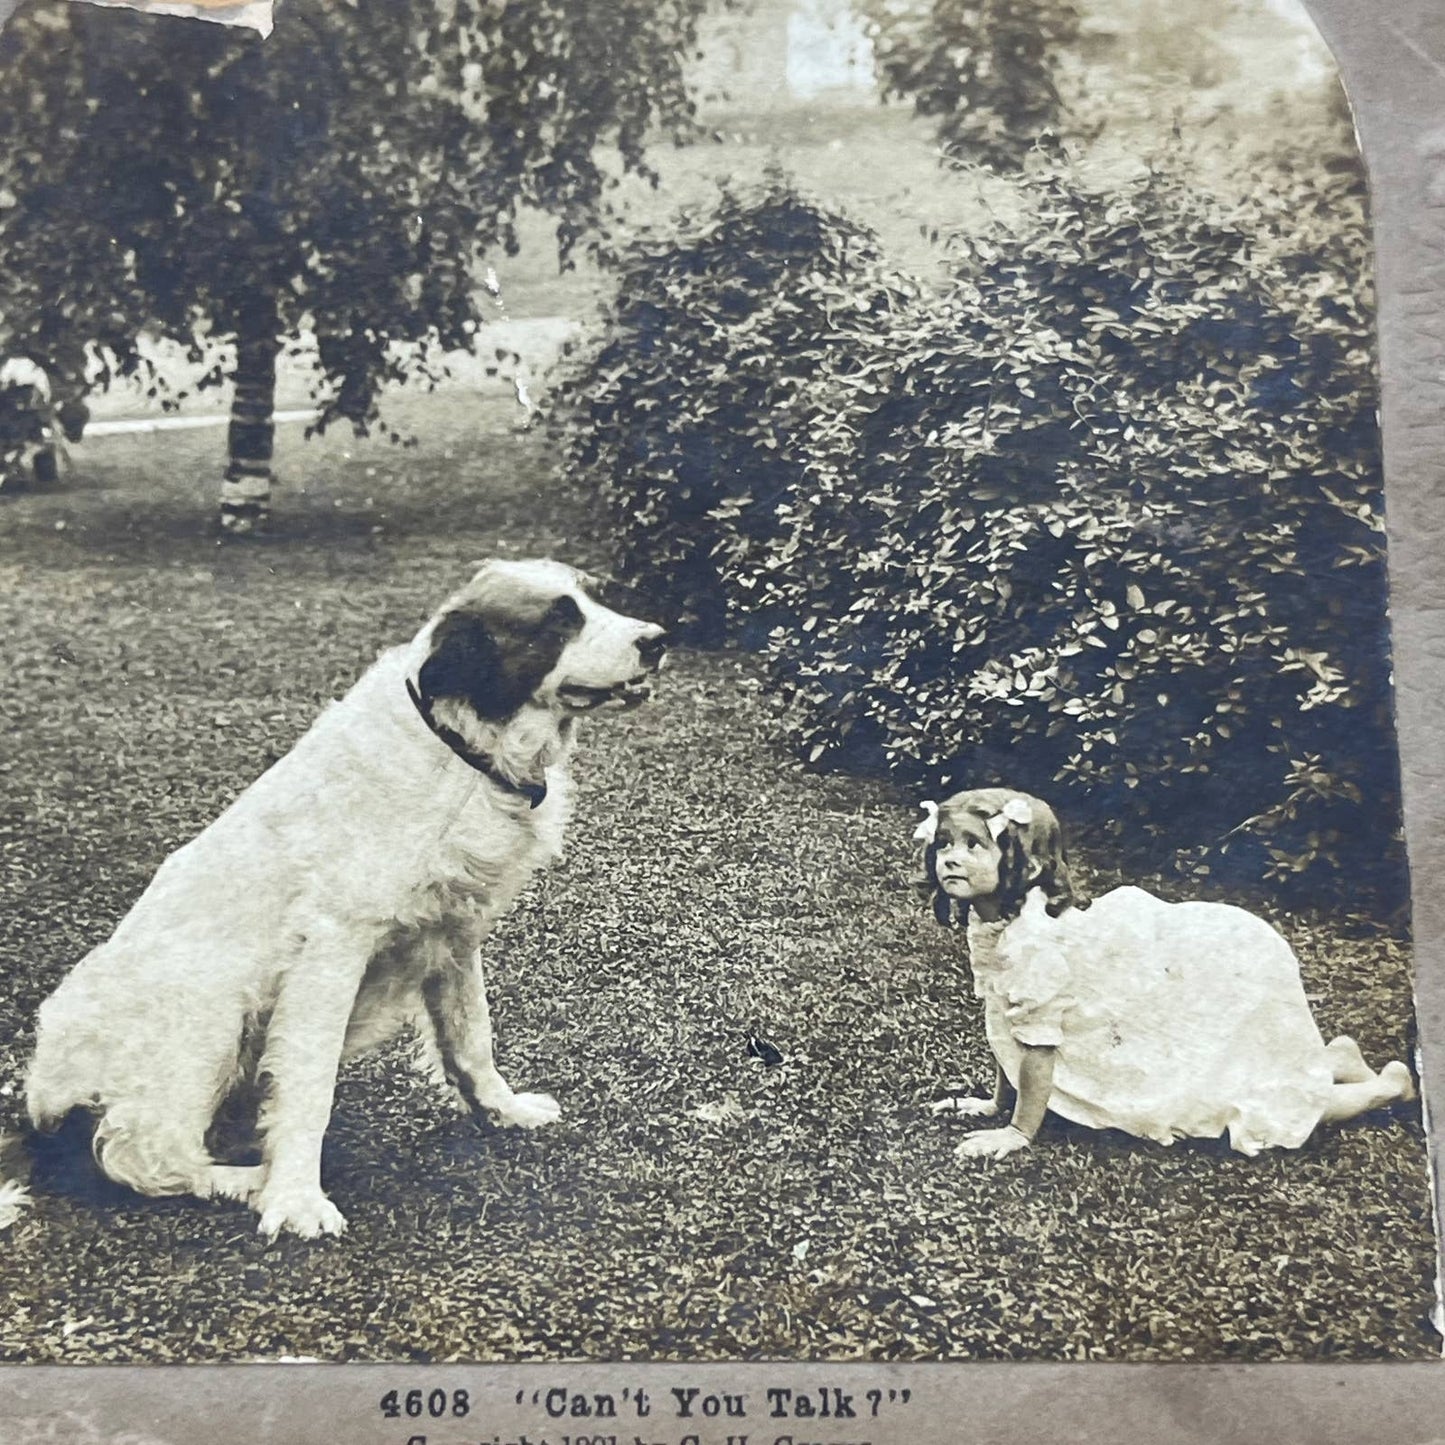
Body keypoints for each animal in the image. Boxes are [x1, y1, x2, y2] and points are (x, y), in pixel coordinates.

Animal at [0, 557, 661, 1236]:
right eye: (559, 622)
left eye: (596, 599)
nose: (658, 641)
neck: (460, 749)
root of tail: (38, 1106)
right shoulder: (334, 948)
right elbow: (309, 1086)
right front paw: (296, 1199)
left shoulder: (452, 934)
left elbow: (472, 1037)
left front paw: (503, 1109)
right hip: (209, 1010)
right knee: (138, 1155)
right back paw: (242, 1179)